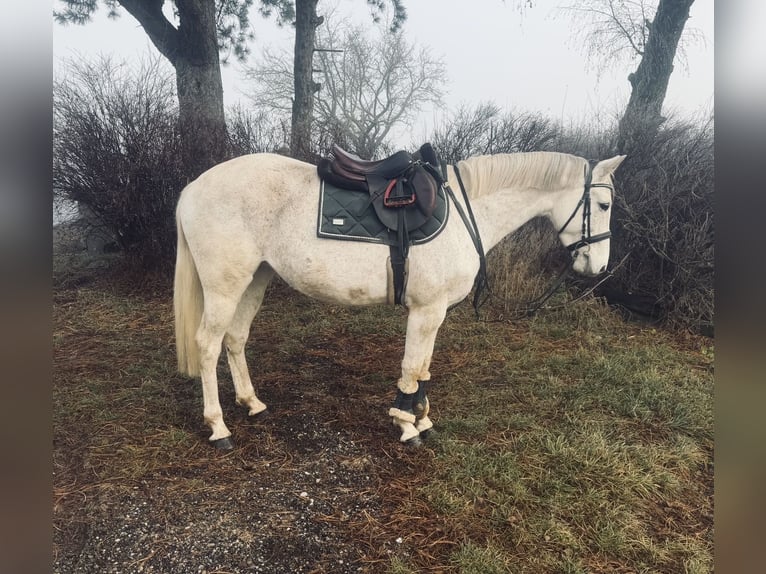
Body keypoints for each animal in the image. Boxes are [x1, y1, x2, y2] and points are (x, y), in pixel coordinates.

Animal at [174, 150, 626, 449]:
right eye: (604, 204)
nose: (600, 265)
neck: (466, 215)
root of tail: (194, 187)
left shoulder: (435, 312)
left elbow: (423, 368)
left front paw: (422, 419)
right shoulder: (426, 310)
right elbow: (412, 367)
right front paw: (407, 425)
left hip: (255, 278)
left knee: (235, 339)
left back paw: (252, 403)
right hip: (225, 285)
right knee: (209, 345)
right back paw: (218, 427)